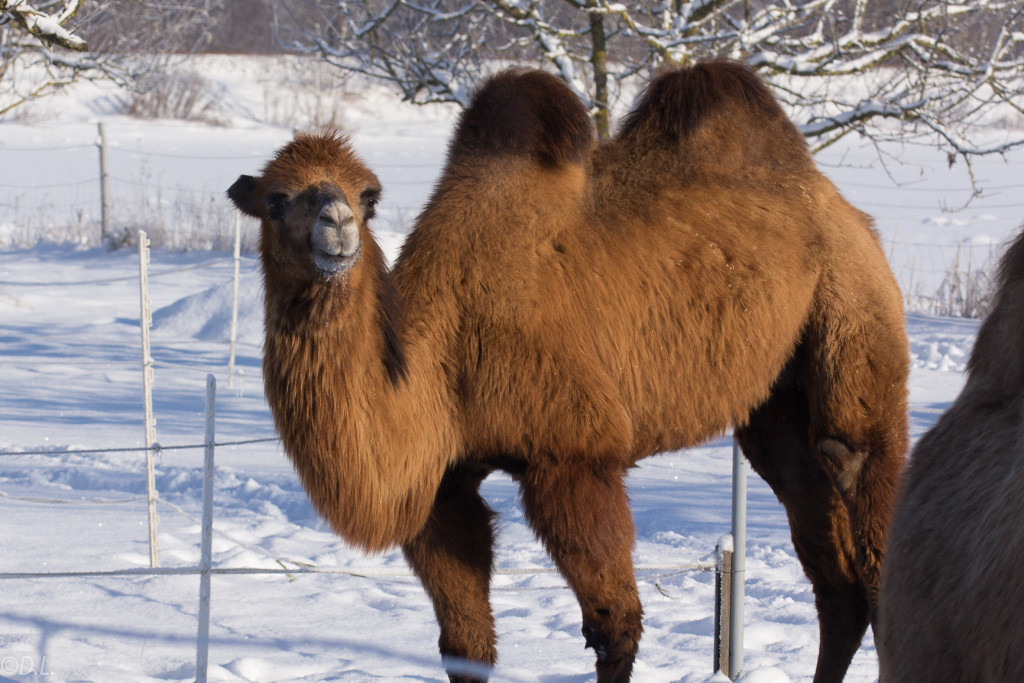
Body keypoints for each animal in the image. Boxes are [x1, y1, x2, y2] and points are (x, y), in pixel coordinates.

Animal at [228, 60, 909, 682]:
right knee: (828, 559)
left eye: (367, 198)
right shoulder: (444, 488)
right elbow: (465, 648)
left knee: (857, 466)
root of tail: (840, 206)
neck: (441, 364)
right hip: (777, 401)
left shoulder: (574, 456)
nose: (337, 224)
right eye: (275, 200)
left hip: (854, 299)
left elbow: (616, 632)